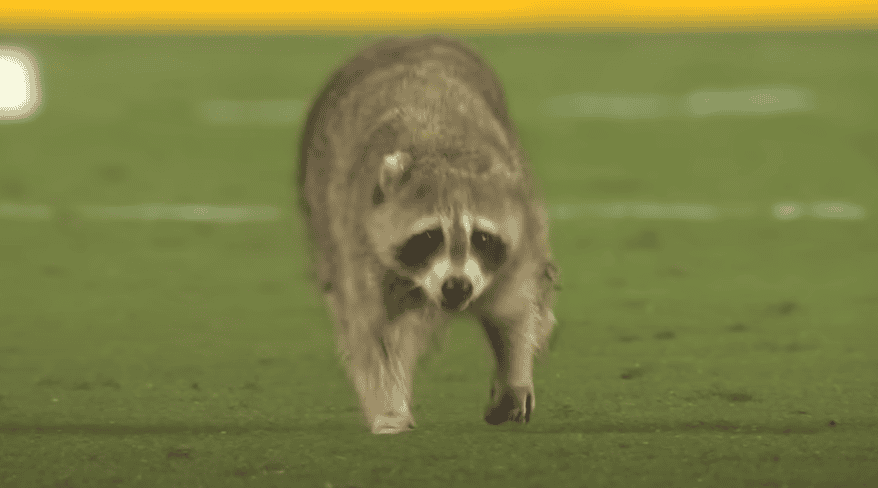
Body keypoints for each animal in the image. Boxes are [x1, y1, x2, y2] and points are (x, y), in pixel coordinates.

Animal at [298, 36, 558, 434]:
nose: (458, 286)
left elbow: (515, 313)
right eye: (430, 236)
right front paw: (390, 408)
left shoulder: (519, 238)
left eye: (482, 238)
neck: (442, 151)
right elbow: (376, 334)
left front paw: (513, 377)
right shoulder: (358, 242)